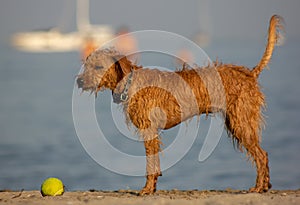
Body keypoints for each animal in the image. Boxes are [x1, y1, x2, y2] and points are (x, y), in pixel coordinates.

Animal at [77, 15, 284, 195]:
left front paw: (147, 189)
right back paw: (264, 185)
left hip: (240, 123)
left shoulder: (149, 130)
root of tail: (249, 73)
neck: (131, 82)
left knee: (261, 155)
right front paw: (152, 187)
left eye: (98, 67)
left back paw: (259, 187)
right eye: (86, 65)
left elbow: (150, 164)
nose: (79, 81)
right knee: (262, 154)